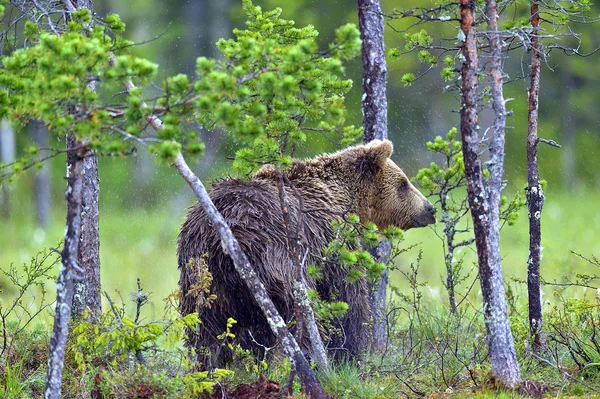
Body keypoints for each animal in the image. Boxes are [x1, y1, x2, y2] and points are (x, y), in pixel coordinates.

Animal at [176, 141, 434, 368]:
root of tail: (223, 237)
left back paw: (209, 369)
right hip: (276, 260)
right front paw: (351, 352)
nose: (430, 209)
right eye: (403, 183)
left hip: (201, 277)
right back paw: (312, 359)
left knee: (205, 332)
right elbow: (347, 296)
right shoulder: (332, 242)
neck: (343, 199)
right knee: (300, 314)